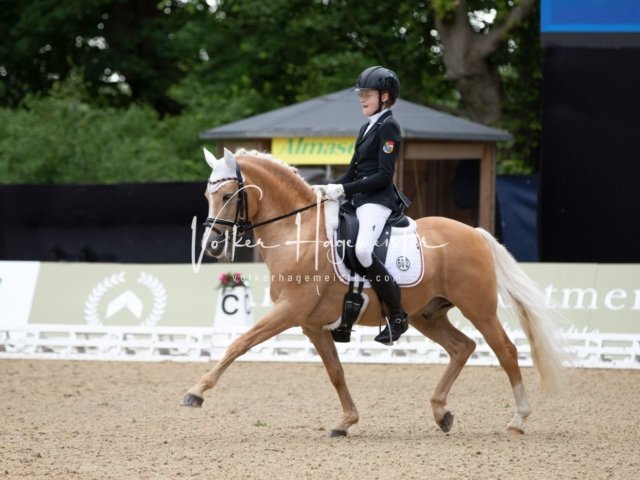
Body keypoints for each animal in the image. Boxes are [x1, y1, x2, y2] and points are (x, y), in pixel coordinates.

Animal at [182, 147, 566, 437]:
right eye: (206, 195)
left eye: (227, 195)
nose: (212, 246)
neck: (298, 233)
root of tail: (474, 232)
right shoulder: (311, 324)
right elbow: (335, 372)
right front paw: (345, 422)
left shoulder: (289, 311)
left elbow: (239, 343)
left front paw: (195, 392)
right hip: (427, 314)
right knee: (462, 347)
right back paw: (441, 412)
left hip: (479, 308)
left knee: (506, 351)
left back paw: (518, 418)